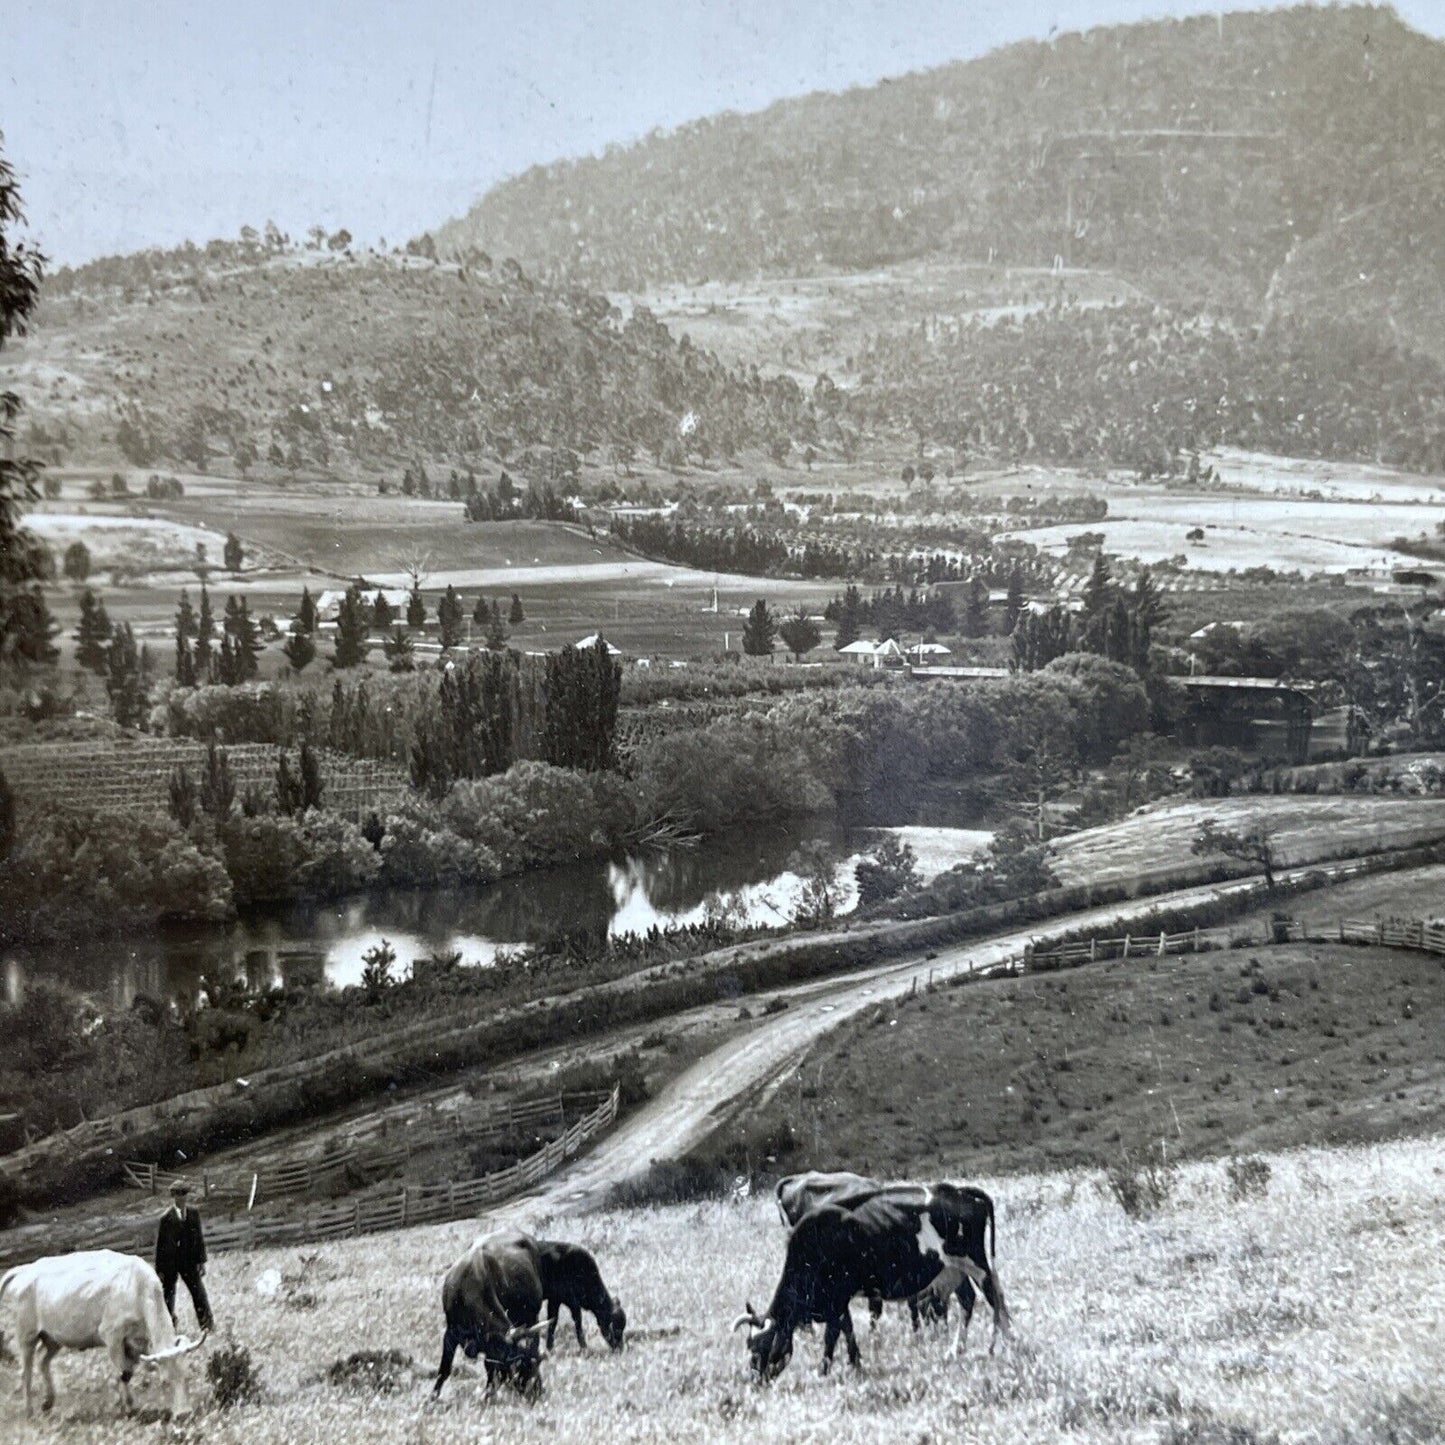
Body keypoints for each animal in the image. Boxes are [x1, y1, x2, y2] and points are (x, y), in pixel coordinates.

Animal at [0, 1248, 206, 1416]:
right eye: (165, 1382)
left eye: (187, 1376)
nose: (184, 1414)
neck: (136, 1287)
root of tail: (24, 1270)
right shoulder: (112, 1336)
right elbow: (123, 1372)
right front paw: (126, 1407)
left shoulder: (134, 1343)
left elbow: (128, 1371)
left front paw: (126, 1403)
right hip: (26, 1334)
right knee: (26, 1371)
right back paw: (29, 1411)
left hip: (52, 1337)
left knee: (43, 1362)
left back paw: (48, 1402)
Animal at [430, 1231, 549, 1398]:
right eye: (520, 1366)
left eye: (538, 1362)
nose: (538, 1390)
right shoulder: (451, 1333)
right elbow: (444, 1370)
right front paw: (431, 1399)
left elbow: (491, 1369)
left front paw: (488, 1395)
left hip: (532, 1317)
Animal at [739, 1179, 1011, 1381]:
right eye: (749, 1346)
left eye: (760, 1350)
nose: (756, 1381)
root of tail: (959, 1191)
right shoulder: (838, 1300)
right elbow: (847, 1328)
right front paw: (855, 1363)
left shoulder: (838, 1296)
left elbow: (833, 1333)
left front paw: (824, 1370)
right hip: (952, 1269)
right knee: (969, 1300)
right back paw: (956, 1350)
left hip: (976, 1262)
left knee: (994, 1296)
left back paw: (1004, 1344)